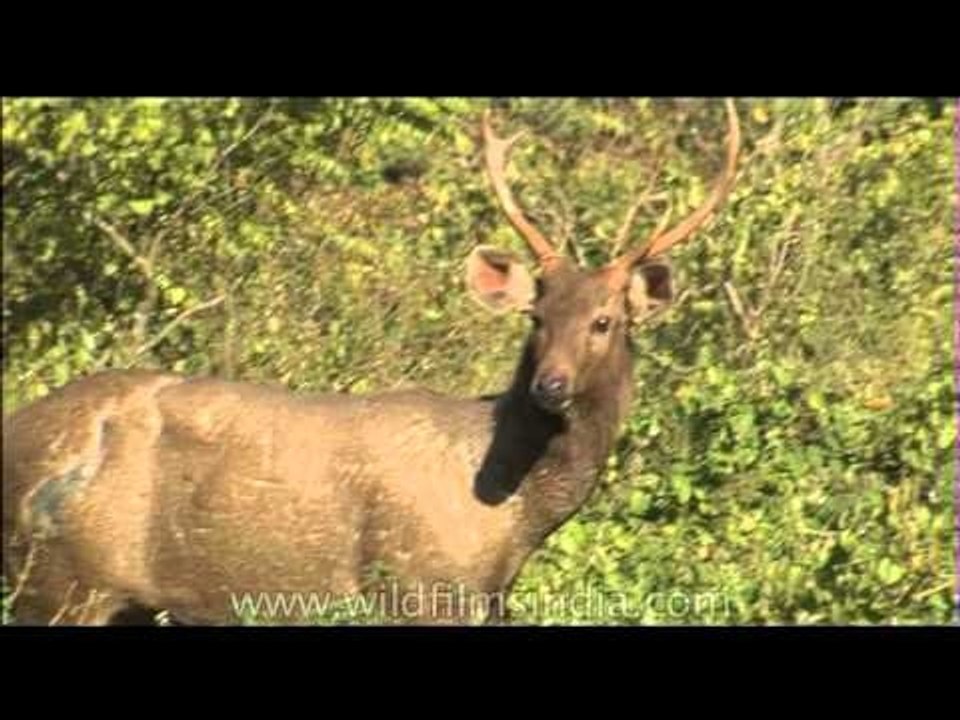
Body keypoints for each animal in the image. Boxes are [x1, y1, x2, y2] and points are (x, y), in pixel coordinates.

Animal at [2, 100, 741, 625]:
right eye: (537, 317)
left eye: (604, 321)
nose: (550, 386)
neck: (513, 523)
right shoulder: (420, 589)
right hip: (59, 581)